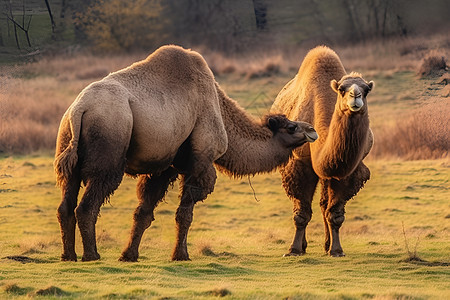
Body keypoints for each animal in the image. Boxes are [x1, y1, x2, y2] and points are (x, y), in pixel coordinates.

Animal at [55, 44, 316, 262]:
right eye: (292, 127)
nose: (312, 130)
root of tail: (79, 110)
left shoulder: (164, 167)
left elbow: (143, 213)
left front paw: (129, 255)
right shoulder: (200, 161)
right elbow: (185, 213)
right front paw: (181, 255)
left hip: (68, 152)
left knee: (66, 204)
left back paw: (69, 256)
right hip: (108, 146)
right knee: (88, 204)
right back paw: (92, 255)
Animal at [272, 45, 374, 256]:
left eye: (367, 90)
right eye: (342, 90)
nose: (355, 96)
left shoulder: (347, 170)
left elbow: (334, 214)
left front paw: (336, 250)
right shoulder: (300, 164)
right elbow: (302, 213)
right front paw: (294, 249)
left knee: (323, 205)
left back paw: (327, 245)